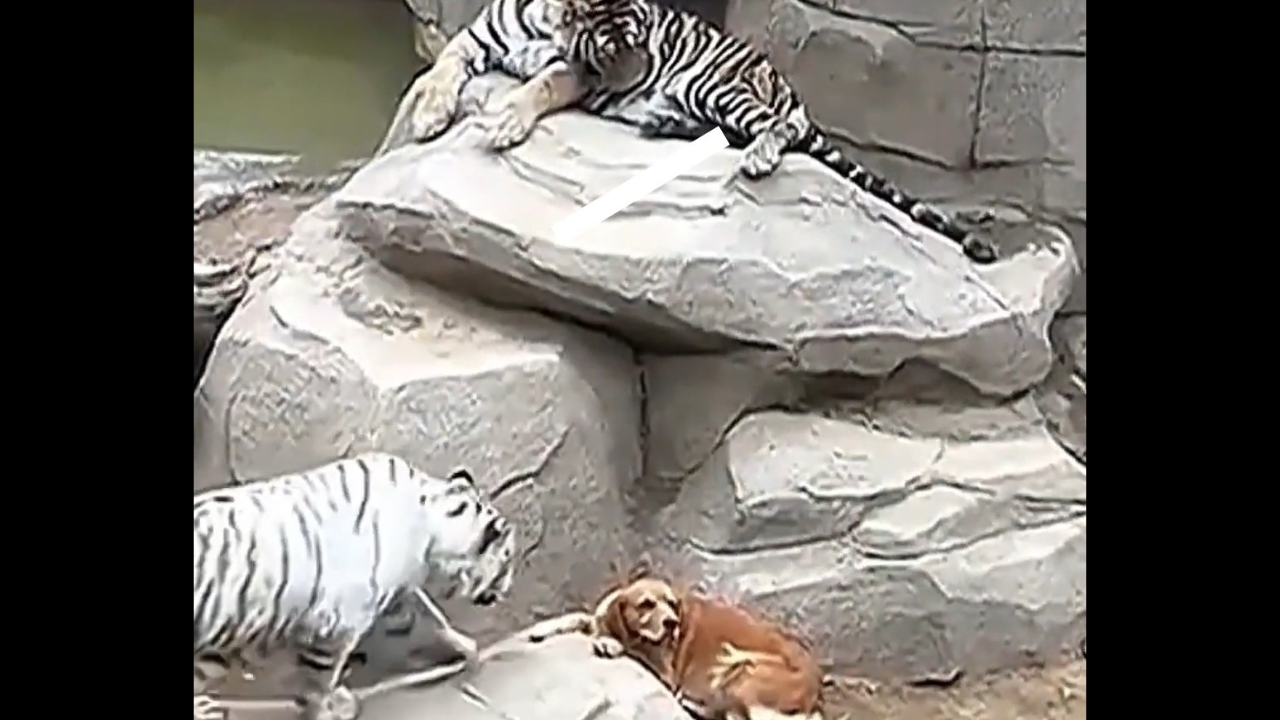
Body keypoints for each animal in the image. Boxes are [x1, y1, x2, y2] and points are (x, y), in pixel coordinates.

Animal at [192, 450, 517, 717]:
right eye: (508, 560)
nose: (506, 590)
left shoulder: (400, 591)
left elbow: (433, 617)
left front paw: (468, 650)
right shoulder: (335, 628)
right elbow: (317, 686)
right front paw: (330, 708)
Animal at [524, 568, 824, 712]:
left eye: (670, 603)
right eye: (646, 604)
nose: (672, 623)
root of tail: (816, 683)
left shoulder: (664, 671)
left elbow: (631, 647)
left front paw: (610, 642)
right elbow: (579, 616)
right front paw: (542, 627)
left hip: (739, 665)